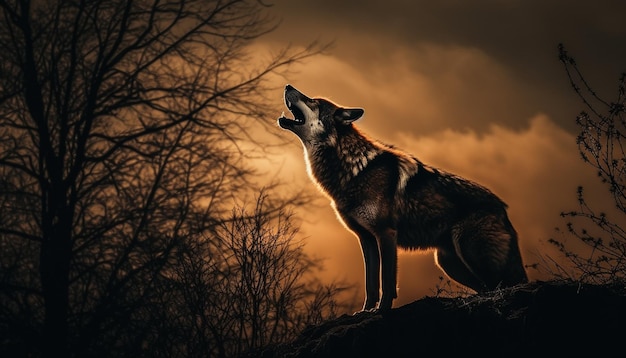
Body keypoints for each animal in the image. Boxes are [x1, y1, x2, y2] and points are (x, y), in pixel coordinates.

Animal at [278, 85, 528, 312]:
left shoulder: (386, 234)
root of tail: (502, 207)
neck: (353, 168)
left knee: (502, 286)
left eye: (312, 101)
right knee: (486, 288)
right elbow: (370, 284)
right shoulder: (366, 239)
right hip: (449, 262)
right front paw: (365, 311)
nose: (288, 86)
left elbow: (387, 282)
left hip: (471, 254)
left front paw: (382, 311)